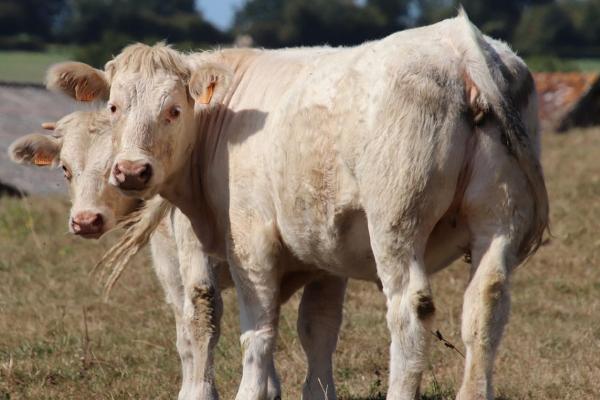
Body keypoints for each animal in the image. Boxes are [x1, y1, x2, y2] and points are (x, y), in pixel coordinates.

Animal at [45, 12, 548, 400]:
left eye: (173, 109)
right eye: (114, 107)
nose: (131, 171)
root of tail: (461, 45)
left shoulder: (245, 241)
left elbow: (238, 323)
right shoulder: (323, 249)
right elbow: (315, 327)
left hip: (396, 223)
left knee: (409, 310)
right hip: (498, 220)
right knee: (485, 304)